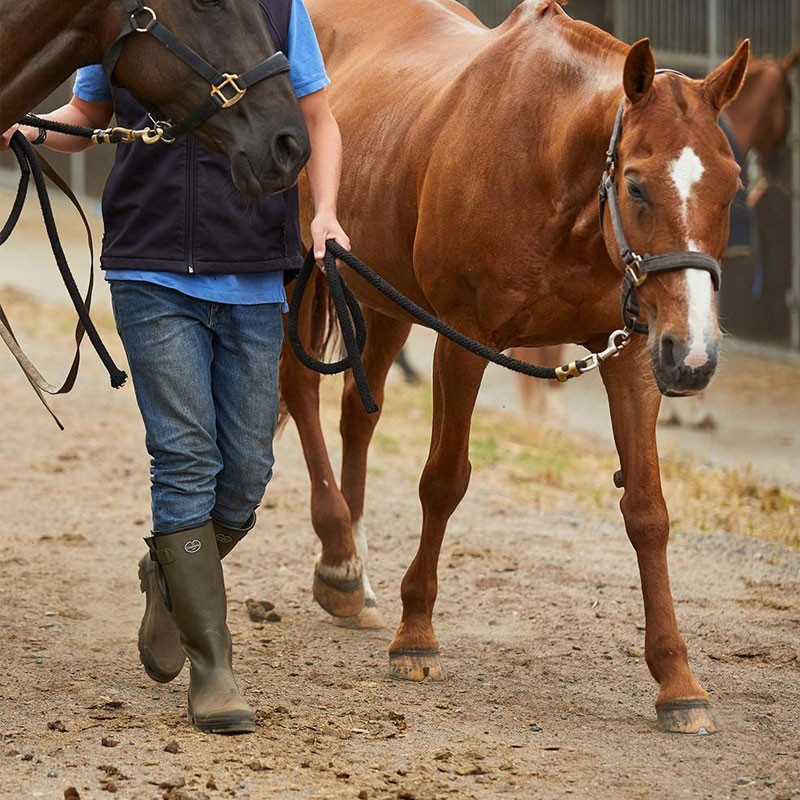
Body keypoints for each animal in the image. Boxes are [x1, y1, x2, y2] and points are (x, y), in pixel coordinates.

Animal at [282, 0, 752, 736]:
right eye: (637, 186)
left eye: (731, 188)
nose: (696, 354)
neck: (551, 170)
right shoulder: (463, 341)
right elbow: (444, 481)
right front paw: (416, 636)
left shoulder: (632, 352)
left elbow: (647, 510)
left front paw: (677, 681)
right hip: (305, 275)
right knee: (299, 389)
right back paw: (338, 548)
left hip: (380, 297)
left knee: (359, 412)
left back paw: (346, 574)